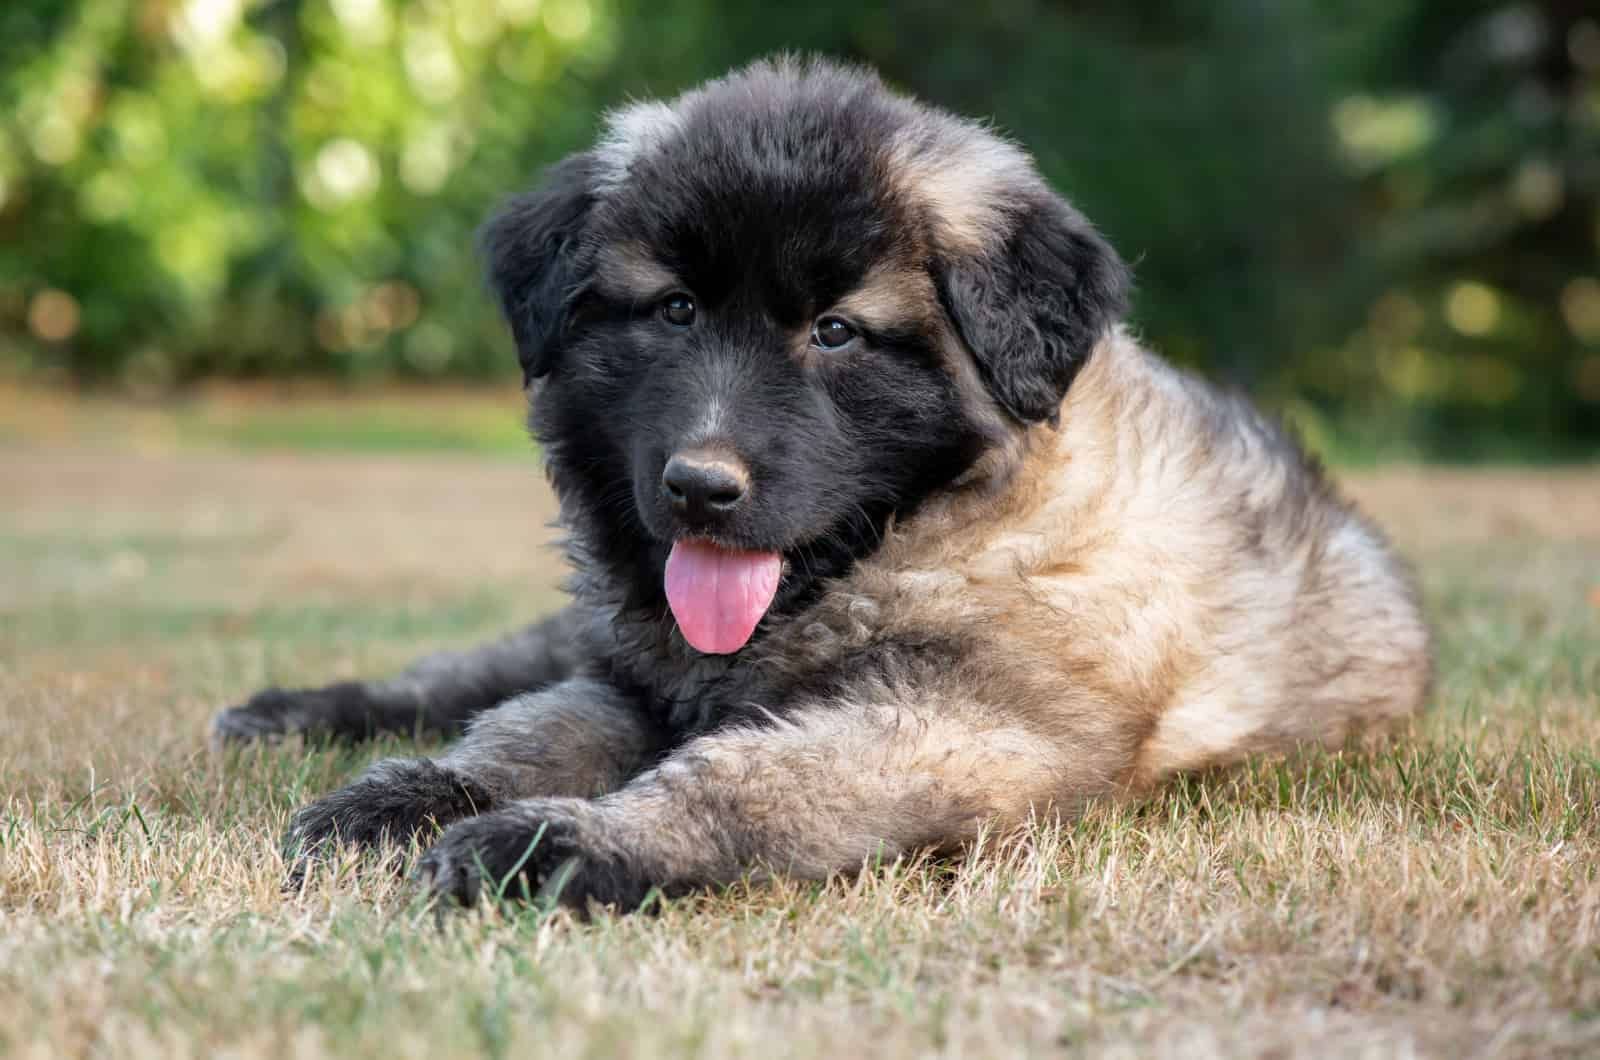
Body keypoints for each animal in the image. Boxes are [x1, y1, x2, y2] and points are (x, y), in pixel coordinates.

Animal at [216, 58, 1440, 909]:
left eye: (837, 332)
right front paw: (411, 795)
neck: (913, 542)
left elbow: (745, 777)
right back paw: (302, 713)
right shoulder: (636, 681)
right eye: (675, 310)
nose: (700, 488)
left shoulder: (953, 722)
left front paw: (567, 842)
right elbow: (522, 731)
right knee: (476, 670)